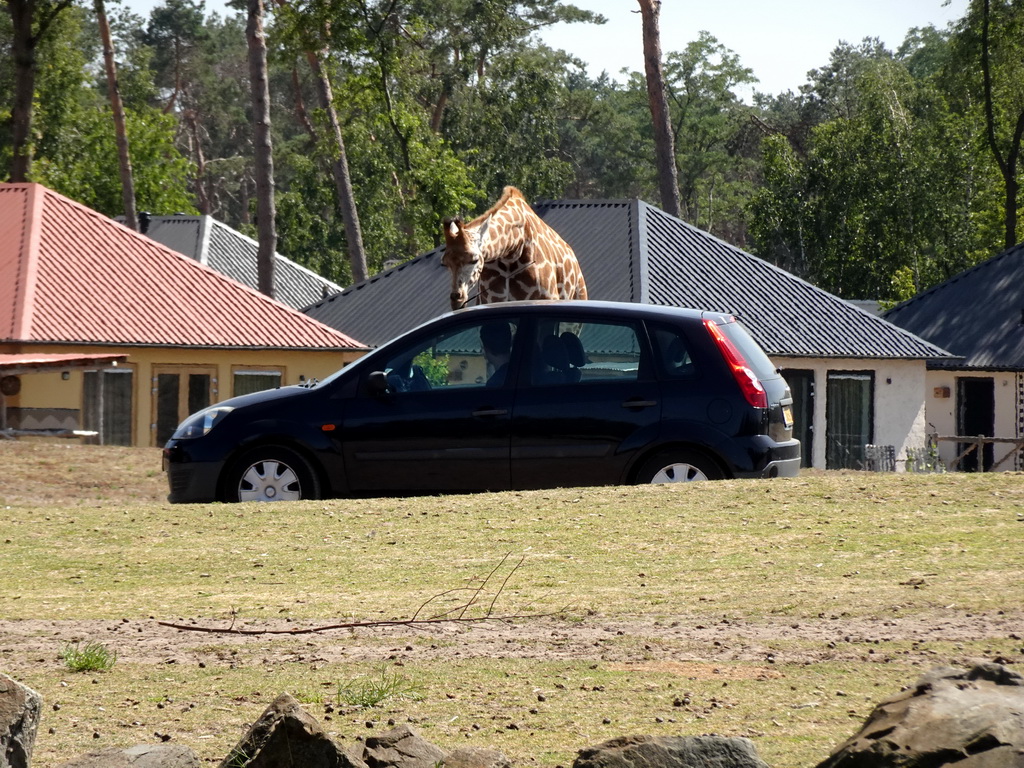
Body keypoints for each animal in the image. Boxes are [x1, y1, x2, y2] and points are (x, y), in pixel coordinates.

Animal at [438, 186, 585, 313]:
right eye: (445, 263)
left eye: (474, 260)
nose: (457, 299)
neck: (511, 251)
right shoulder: (492, 301)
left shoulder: (547, 298)